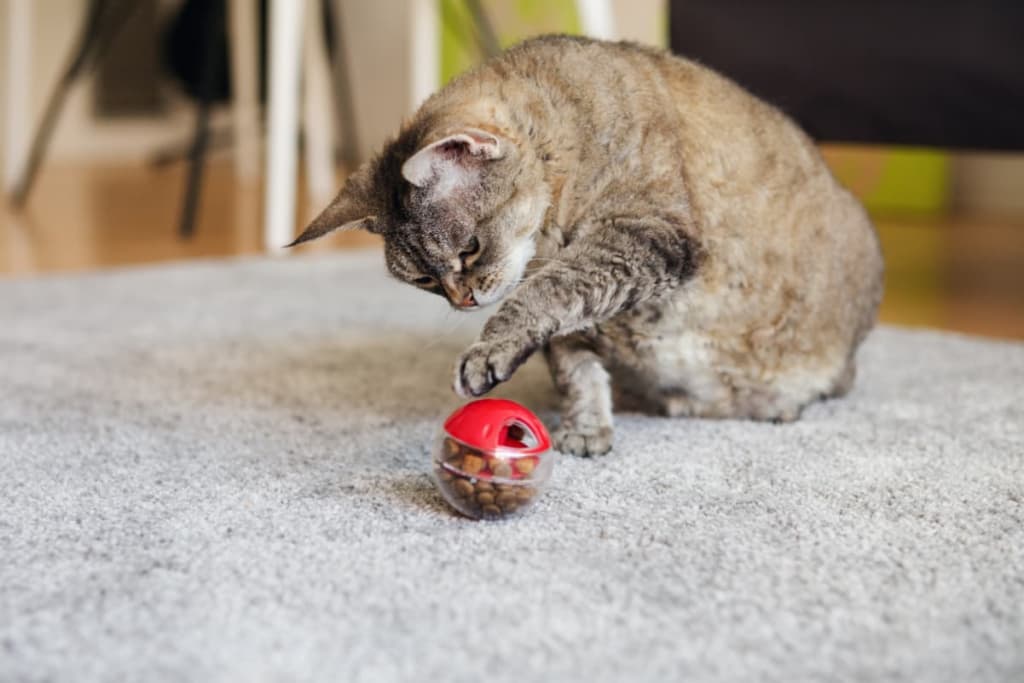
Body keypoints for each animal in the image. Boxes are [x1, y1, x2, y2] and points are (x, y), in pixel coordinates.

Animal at [288, 34, 880, 456]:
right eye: (425, 280)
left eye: (468, 249)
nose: (463, 300)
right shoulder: (581, 315)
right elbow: (575, 367)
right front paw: (588, 428)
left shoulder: (644, 235)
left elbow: (545, 295)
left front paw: (488, 351)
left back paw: (777, 404)